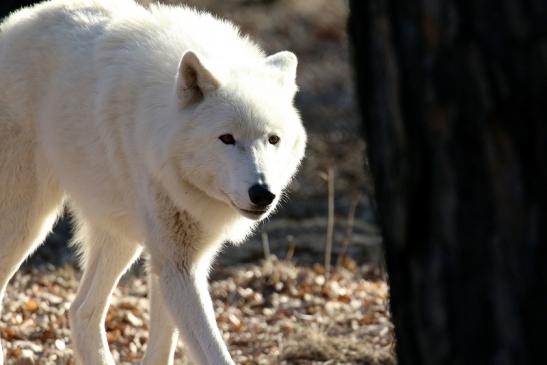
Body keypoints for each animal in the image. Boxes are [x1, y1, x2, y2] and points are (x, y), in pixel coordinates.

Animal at [0, 0, 308, 362]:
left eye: (273, 139)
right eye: (227, 138)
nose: (262, 193)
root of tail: (11, 24)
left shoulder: (177, 259)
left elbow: (163, 345)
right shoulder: (176, 263)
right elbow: (213, 351)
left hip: (119, 237)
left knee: (80, 310)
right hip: (25, 225)